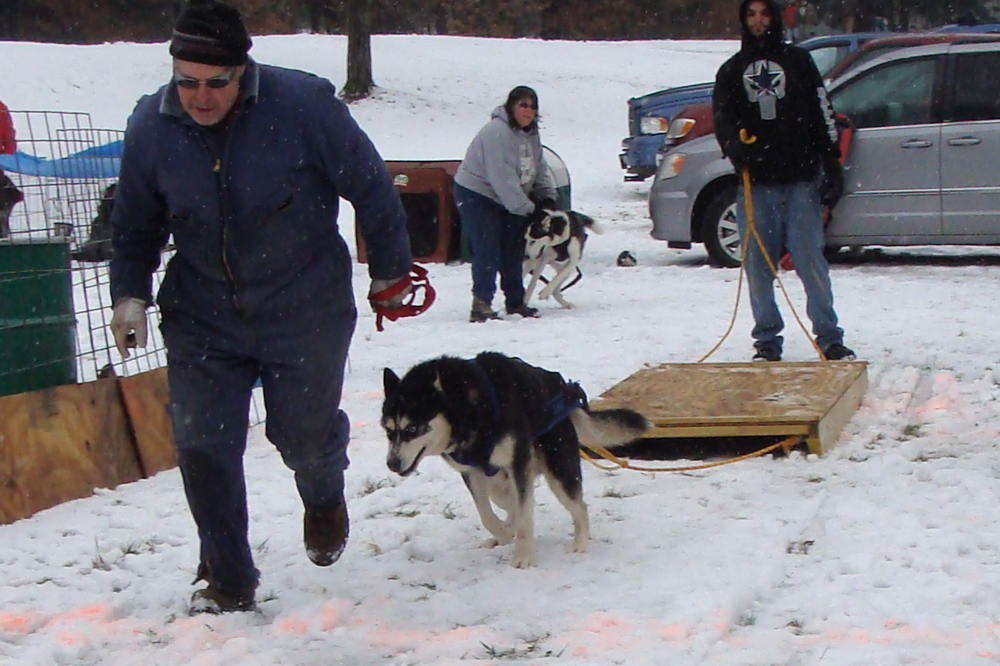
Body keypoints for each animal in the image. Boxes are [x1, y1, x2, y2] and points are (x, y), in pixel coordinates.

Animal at [380, 352, 648, 564]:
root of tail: (565, 391)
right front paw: (503, 532)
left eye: (411, 429)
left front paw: (523, 556)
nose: (392, 463)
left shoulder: (518, 462)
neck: (469, 408)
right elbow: (488, 513)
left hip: (558, 469)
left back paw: (580, 543)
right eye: (388, 431)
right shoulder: (472, 471)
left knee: (578, 506)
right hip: (505, 475)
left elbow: (523, 513)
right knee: (505, 497)